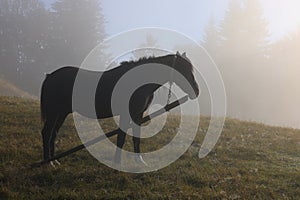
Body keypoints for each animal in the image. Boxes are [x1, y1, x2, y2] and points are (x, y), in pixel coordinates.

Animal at [39, 51, 199, 166]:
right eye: (183, 69)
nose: (196, 91)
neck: (139, 81)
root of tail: (50, 76)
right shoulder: (126, 114)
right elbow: (121, 137)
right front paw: (117, 162)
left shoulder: (138, 115)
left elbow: (136, 137)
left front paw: (139, 161)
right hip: (54, 112)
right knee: (47, 133)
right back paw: (49, 163)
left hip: (62, 112)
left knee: (53, 133)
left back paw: (54, 160)